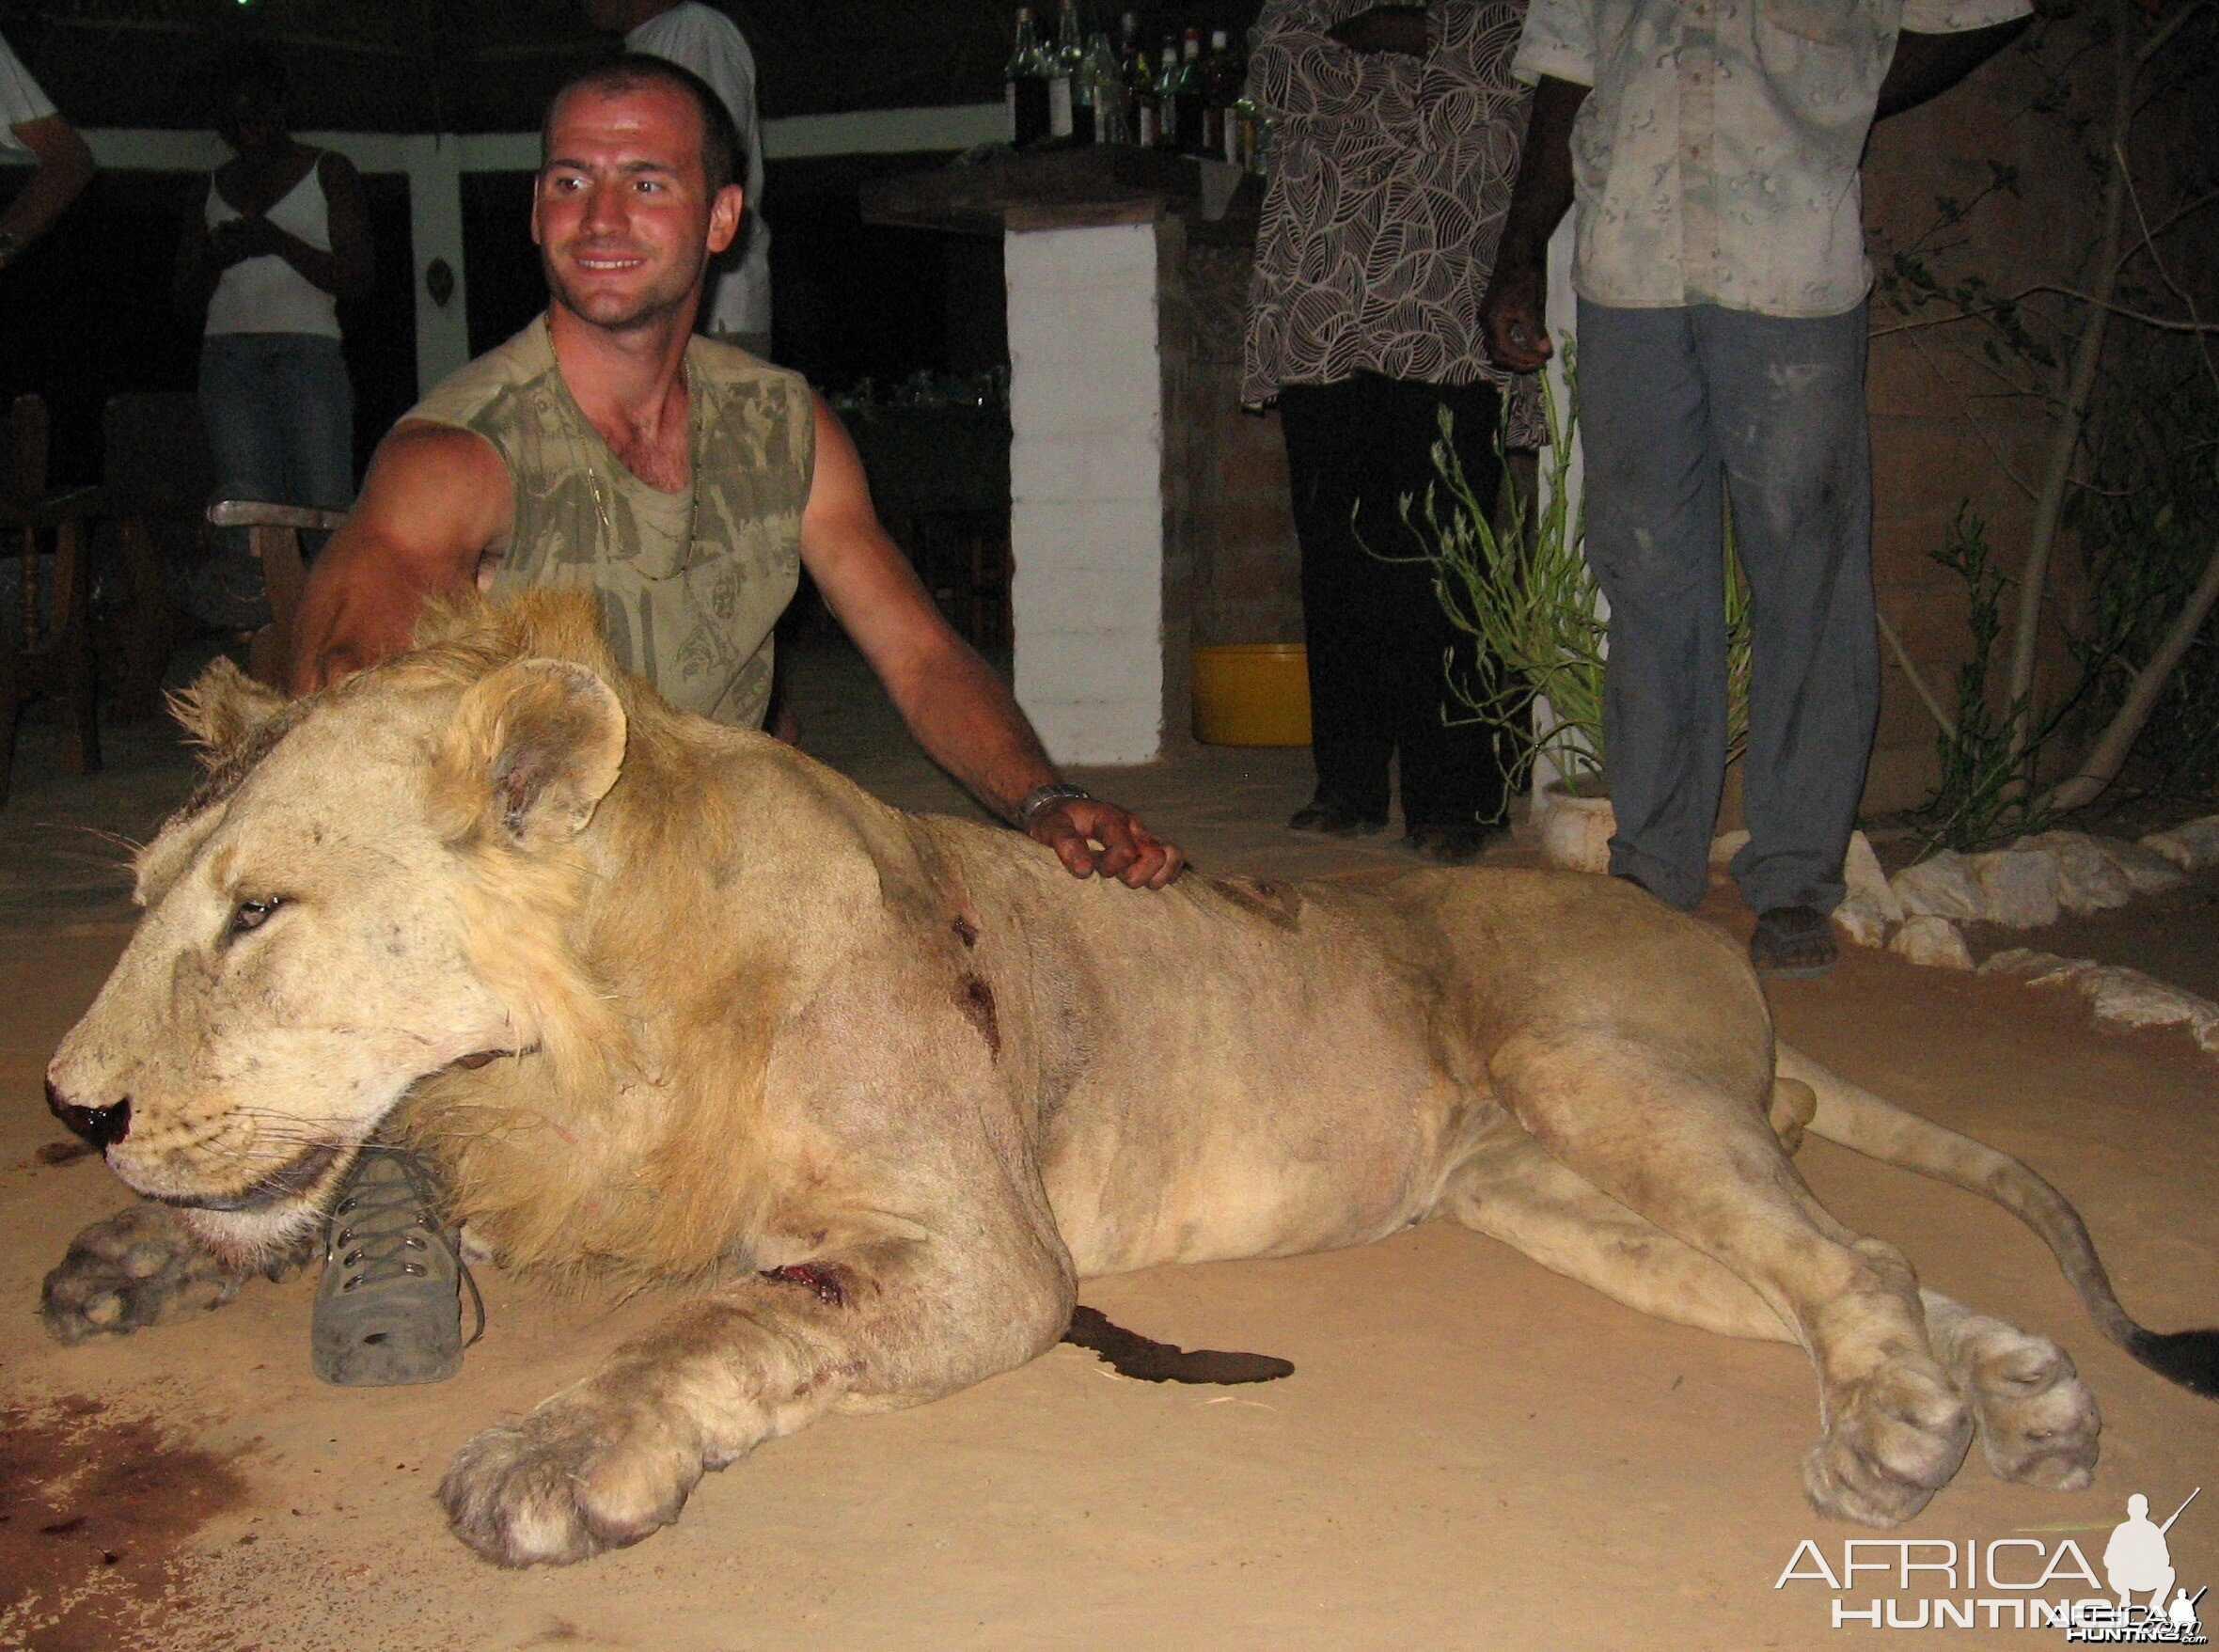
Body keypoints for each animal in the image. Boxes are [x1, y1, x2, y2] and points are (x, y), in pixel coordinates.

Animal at [39, 590, 2219, 1563]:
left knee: (1849, 1261)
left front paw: (556, 1449)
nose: (72, 1100)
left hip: (1599, 1072)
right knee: (1843, 1258)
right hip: (1546, 1187)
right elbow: (357, 1170)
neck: (614, 1018)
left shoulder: (986, 1251)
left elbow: (729, 1312)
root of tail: (1692, 925)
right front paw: (131, 1255)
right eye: (144, 899)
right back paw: (2015, 1394)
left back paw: (1905, 1430)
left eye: (259, 910)